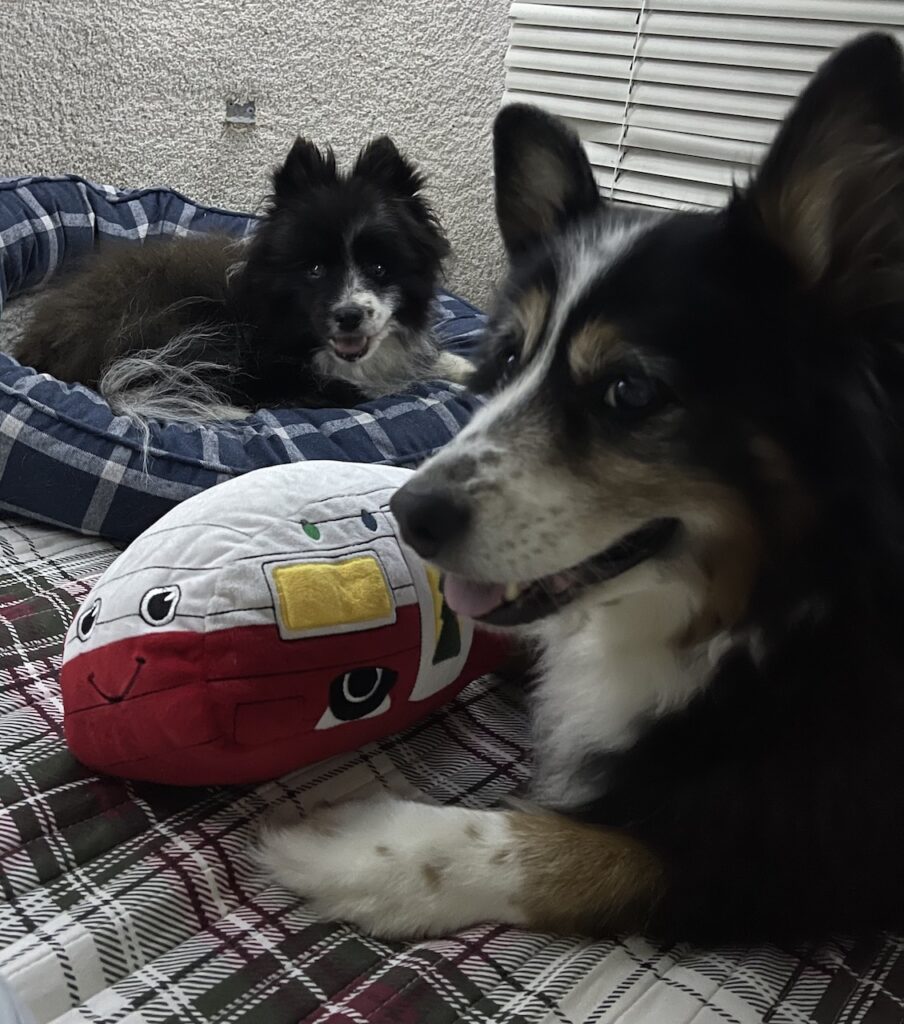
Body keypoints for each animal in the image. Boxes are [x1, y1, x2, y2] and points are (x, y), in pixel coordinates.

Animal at [260, 32, 904, 942]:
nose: (408, 515)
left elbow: (581, 851)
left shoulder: (809, 838)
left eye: (629, 391)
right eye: (505, 359)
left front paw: (354, 847)